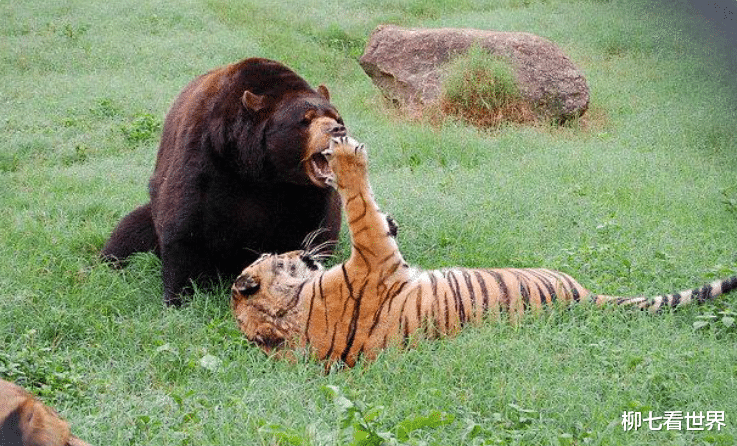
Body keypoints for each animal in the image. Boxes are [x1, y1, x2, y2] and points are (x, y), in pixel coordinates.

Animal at [100, 56, 344, 306]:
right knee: (128, 232)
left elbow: (311, 231)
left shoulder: (304, 192)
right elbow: (183, 224)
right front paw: (178, 296)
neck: (260, 170)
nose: (338, 129)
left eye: (335, 116)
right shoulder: (204, 156)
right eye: (305, 119)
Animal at [233, 136, 736, 370]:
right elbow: (361, 207)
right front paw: (345, 156)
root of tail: (584, 296)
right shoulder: (373, 255)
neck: (294, 312)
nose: (299, 248)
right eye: (280, 256)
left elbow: (374, 215)